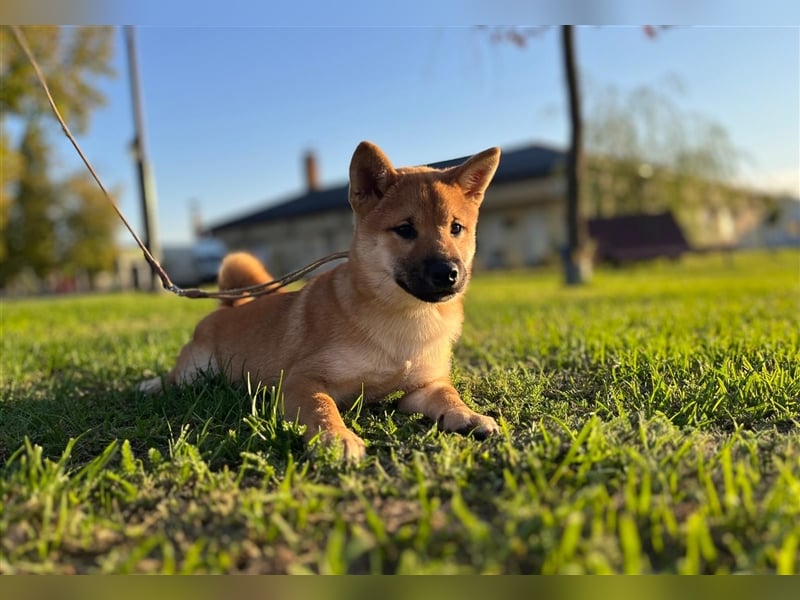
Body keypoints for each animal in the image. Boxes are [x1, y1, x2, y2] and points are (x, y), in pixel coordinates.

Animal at [138, 141, 500, 460]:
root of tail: (229, 307)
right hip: (195, 371)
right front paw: (336, 437)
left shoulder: (423, 386)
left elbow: (448, 395)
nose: (448, 272)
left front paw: (468, 415)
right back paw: (150, 384)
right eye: (405, 229)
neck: (406, 318)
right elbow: (321, 408)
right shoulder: (303, 379)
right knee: (173, 377)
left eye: (456, 228)